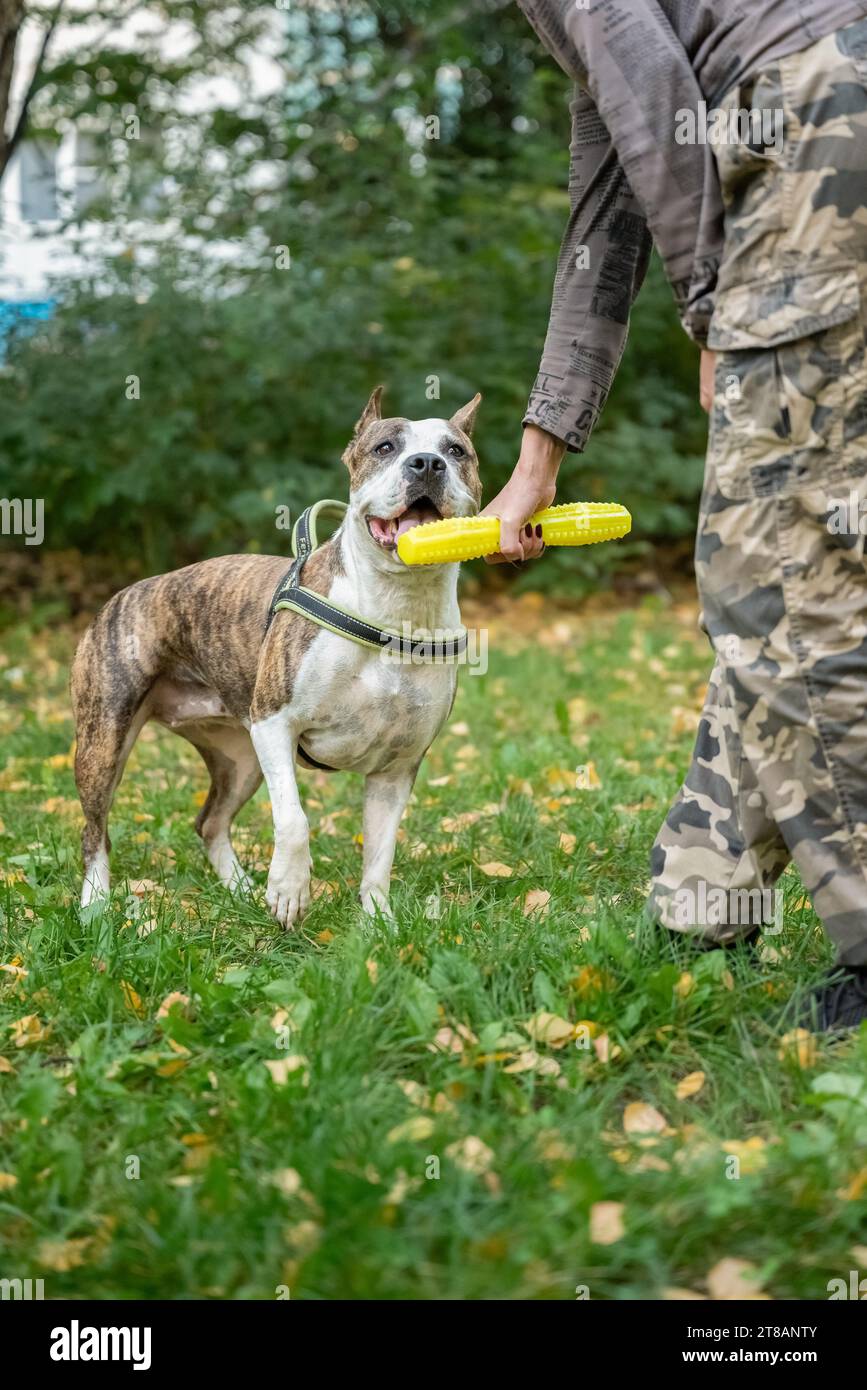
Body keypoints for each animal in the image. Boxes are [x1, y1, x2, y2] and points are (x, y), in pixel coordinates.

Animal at [71, 389, 483, 922]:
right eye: (386, 447)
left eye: (456, 451)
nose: (428, 463)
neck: (399, 605)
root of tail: (121, 595)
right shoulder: (274, 724)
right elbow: (294, 819)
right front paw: (289, 890)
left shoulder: (397, 767)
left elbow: (380, 852)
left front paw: (378, 922)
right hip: (105, 740)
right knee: (94, 830)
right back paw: (96, 903)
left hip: (239, 757)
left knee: (209, 822)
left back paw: (240, 890)